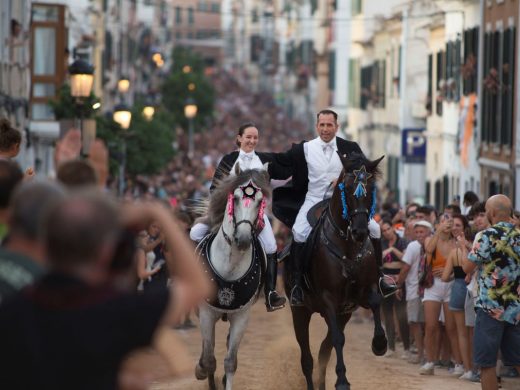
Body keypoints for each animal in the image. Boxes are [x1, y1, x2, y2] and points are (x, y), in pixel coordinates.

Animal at [194, 165, 270, 390]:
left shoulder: (242, 316)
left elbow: (230, 361)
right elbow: (209, 359)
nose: (242, 239)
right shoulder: (206, 313)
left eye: (260, 201)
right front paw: (201, 370)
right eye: (235, 198)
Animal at [284, 153, 390, 390]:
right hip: (301, 312)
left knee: (324, 350)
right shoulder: (328, 298)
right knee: (308, 358)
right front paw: (342, 380)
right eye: (348, 189)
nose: (360, 231)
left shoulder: (362, 293)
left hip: (344, 313)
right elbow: (337, 340)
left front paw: (380, 343)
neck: (348, 246)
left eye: (371, 189)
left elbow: (376, 301)